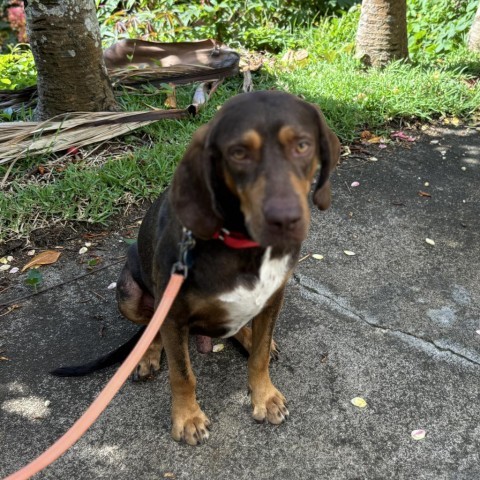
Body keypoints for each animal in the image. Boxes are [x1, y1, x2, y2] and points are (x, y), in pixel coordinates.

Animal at [53, 91, 342, 446]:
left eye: (303, 145)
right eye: (238, 152)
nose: (285, 220)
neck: (241, 244)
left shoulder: (274, 297)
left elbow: (259, 356)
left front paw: (264, 396)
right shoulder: (173, 315)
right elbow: (182, 374)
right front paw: (187, 418)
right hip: (128, 294)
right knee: (150, 328)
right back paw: (148, 354)